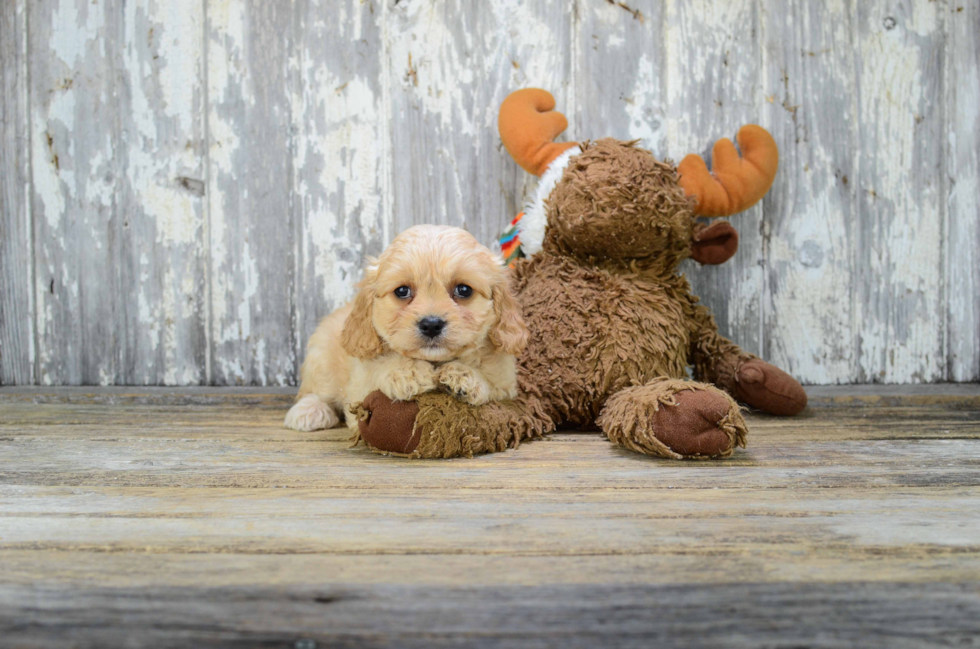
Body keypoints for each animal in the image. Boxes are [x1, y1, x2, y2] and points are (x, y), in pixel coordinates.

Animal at [284, 225, 528, 432]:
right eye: (402, 291)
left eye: (464, 290)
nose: (431, 324)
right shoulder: (359, 383)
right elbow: (378, 369)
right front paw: (409, 372)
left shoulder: (507, 382)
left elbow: (494, 386)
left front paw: (465, 376)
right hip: (322, 359)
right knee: (315, 391)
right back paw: (309, 412)